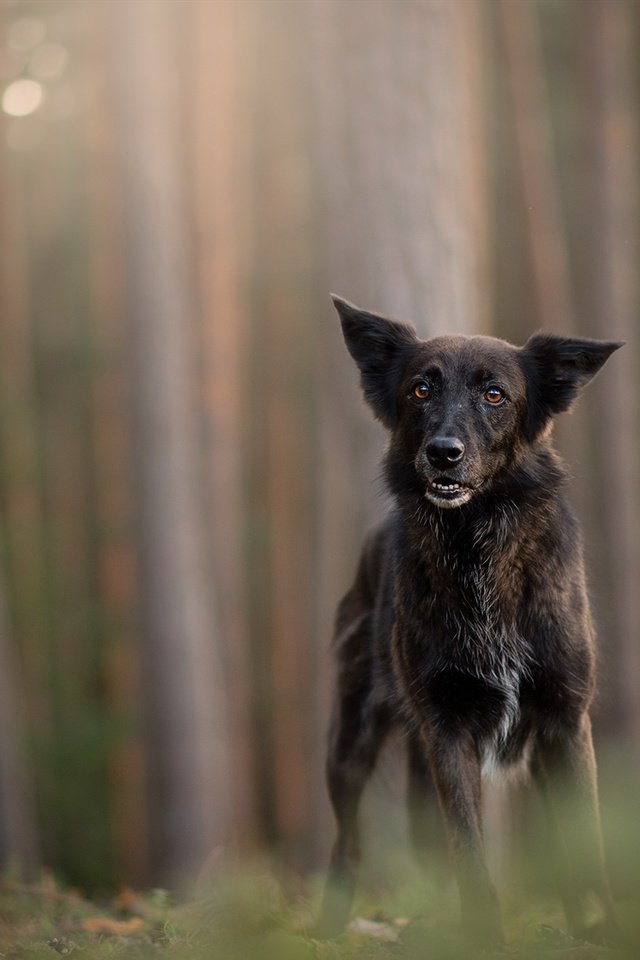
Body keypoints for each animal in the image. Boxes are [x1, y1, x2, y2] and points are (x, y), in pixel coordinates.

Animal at [318, 298, 624, 944]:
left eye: (494, 394)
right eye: (421, 388)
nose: (443, 452)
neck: (478, 547)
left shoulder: (564, 721)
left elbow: (587, 843)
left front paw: (605, 930)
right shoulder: (447, 730)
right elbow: (466, 847)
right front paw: (483, 936)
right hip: (351, 743)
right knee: (348, 842)